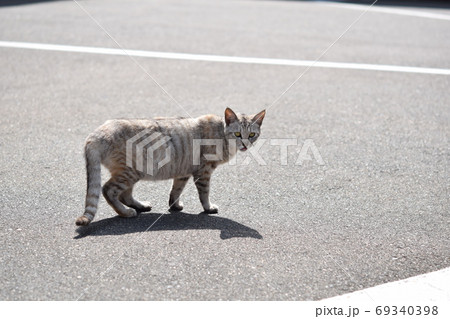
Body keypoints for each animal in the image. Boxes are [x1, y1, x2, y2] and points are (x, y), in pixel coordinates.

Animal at [75, 109, 266, 226]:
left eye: (251, 134)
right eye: (237, 134)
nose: (245, 144)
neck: (221, 133)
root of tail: (95, 134)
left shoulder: (183, 171)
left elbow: (175, 191)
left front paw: (174, 206)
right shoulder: (203, 172)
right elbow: (204, 194)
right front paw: (208, 208)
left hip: (133, 172)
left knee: (124, 194)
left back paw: (140, 206)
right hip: (130, 172)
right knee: (108, 190)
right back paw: (126, 212)